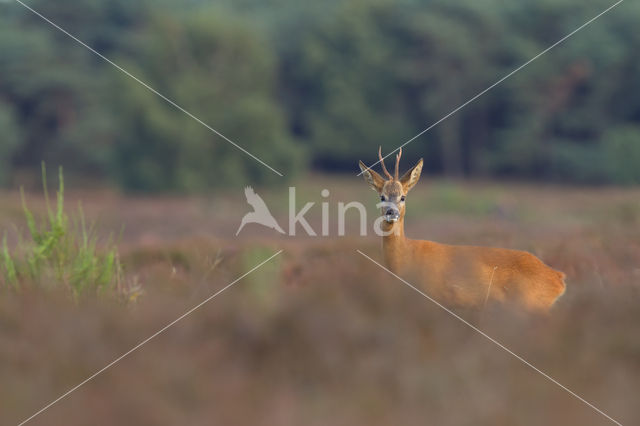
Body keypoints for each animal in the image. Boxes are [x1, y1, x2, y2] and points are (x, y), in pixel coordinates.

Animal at [360, 148, 564, 312]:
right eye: (382, 196)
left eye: (403, 197)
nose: (391, 212)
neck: (406, 257)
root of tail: (558, 278)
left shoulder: (433, 297)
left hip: (529, 304)